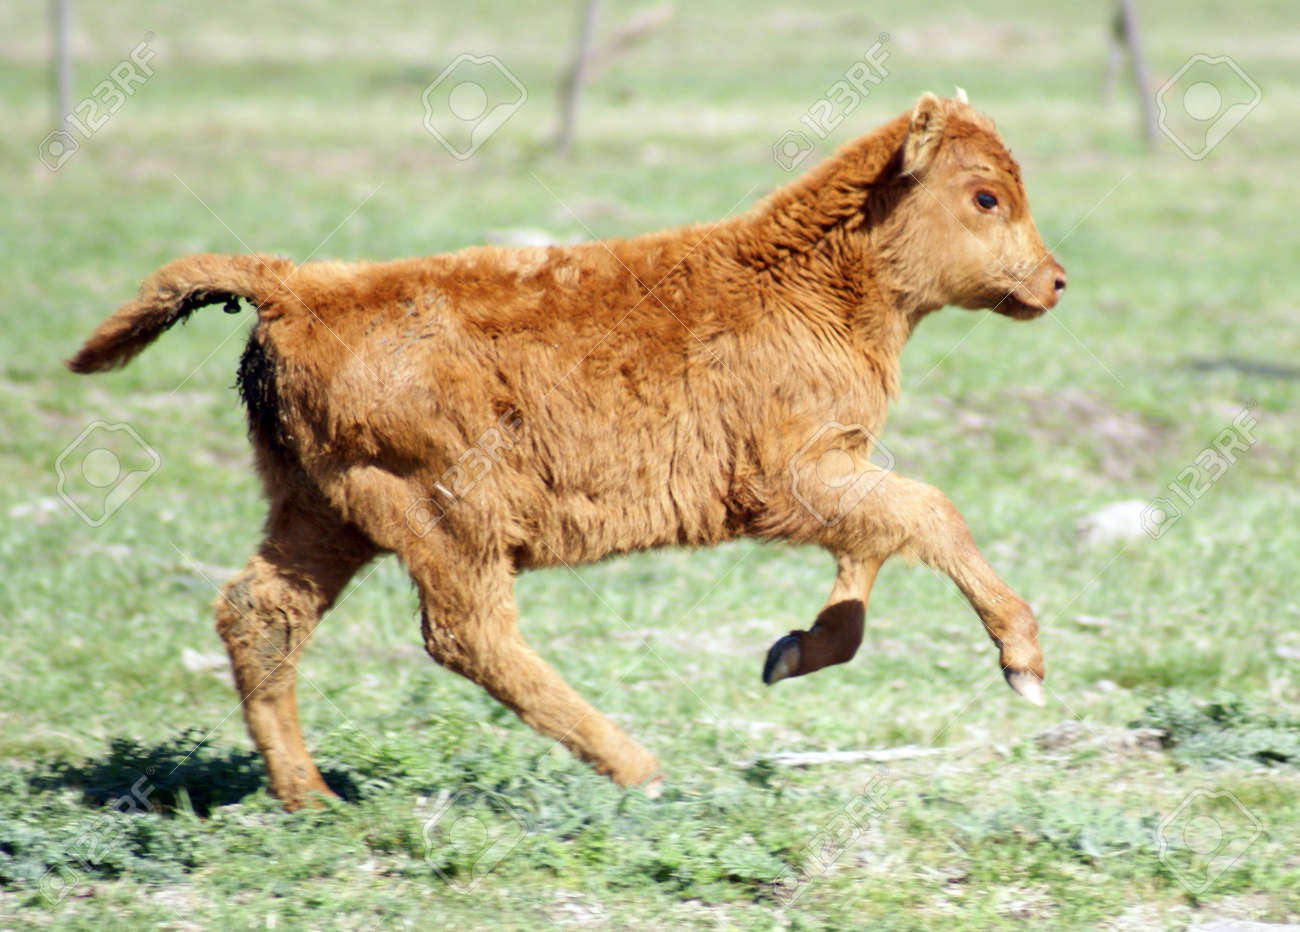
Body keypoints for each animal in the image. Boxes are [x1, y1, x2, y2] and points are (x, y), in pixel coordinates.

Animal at [68, 92, 1066, 810]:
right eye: (986, 196)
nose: (1055, 281)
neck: (807, 277)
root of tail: (300, 288)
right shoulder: (790, 479)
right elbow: (925, 513)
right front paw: (1022, 663)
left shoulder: (835, 470)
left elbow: (875, 547)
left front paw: (790, 653)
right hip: (447, 518)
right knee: (466, 634)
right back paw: (637, 767)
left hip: (322, 515)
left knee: (262, 614)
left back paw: (311, 800)